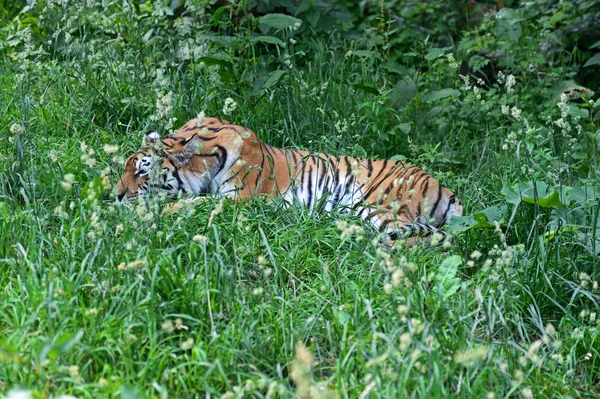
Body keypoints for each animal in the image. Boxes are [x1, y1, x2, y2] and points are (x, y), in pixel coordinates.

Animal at [118, 116, 464, 247]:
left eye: (142, 172)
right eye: (125, 168)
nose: (118, 196)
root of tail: (444, 188)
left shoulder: (241, 200)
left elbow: (191, 203)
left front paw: (140, 213)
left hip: (378, 208)